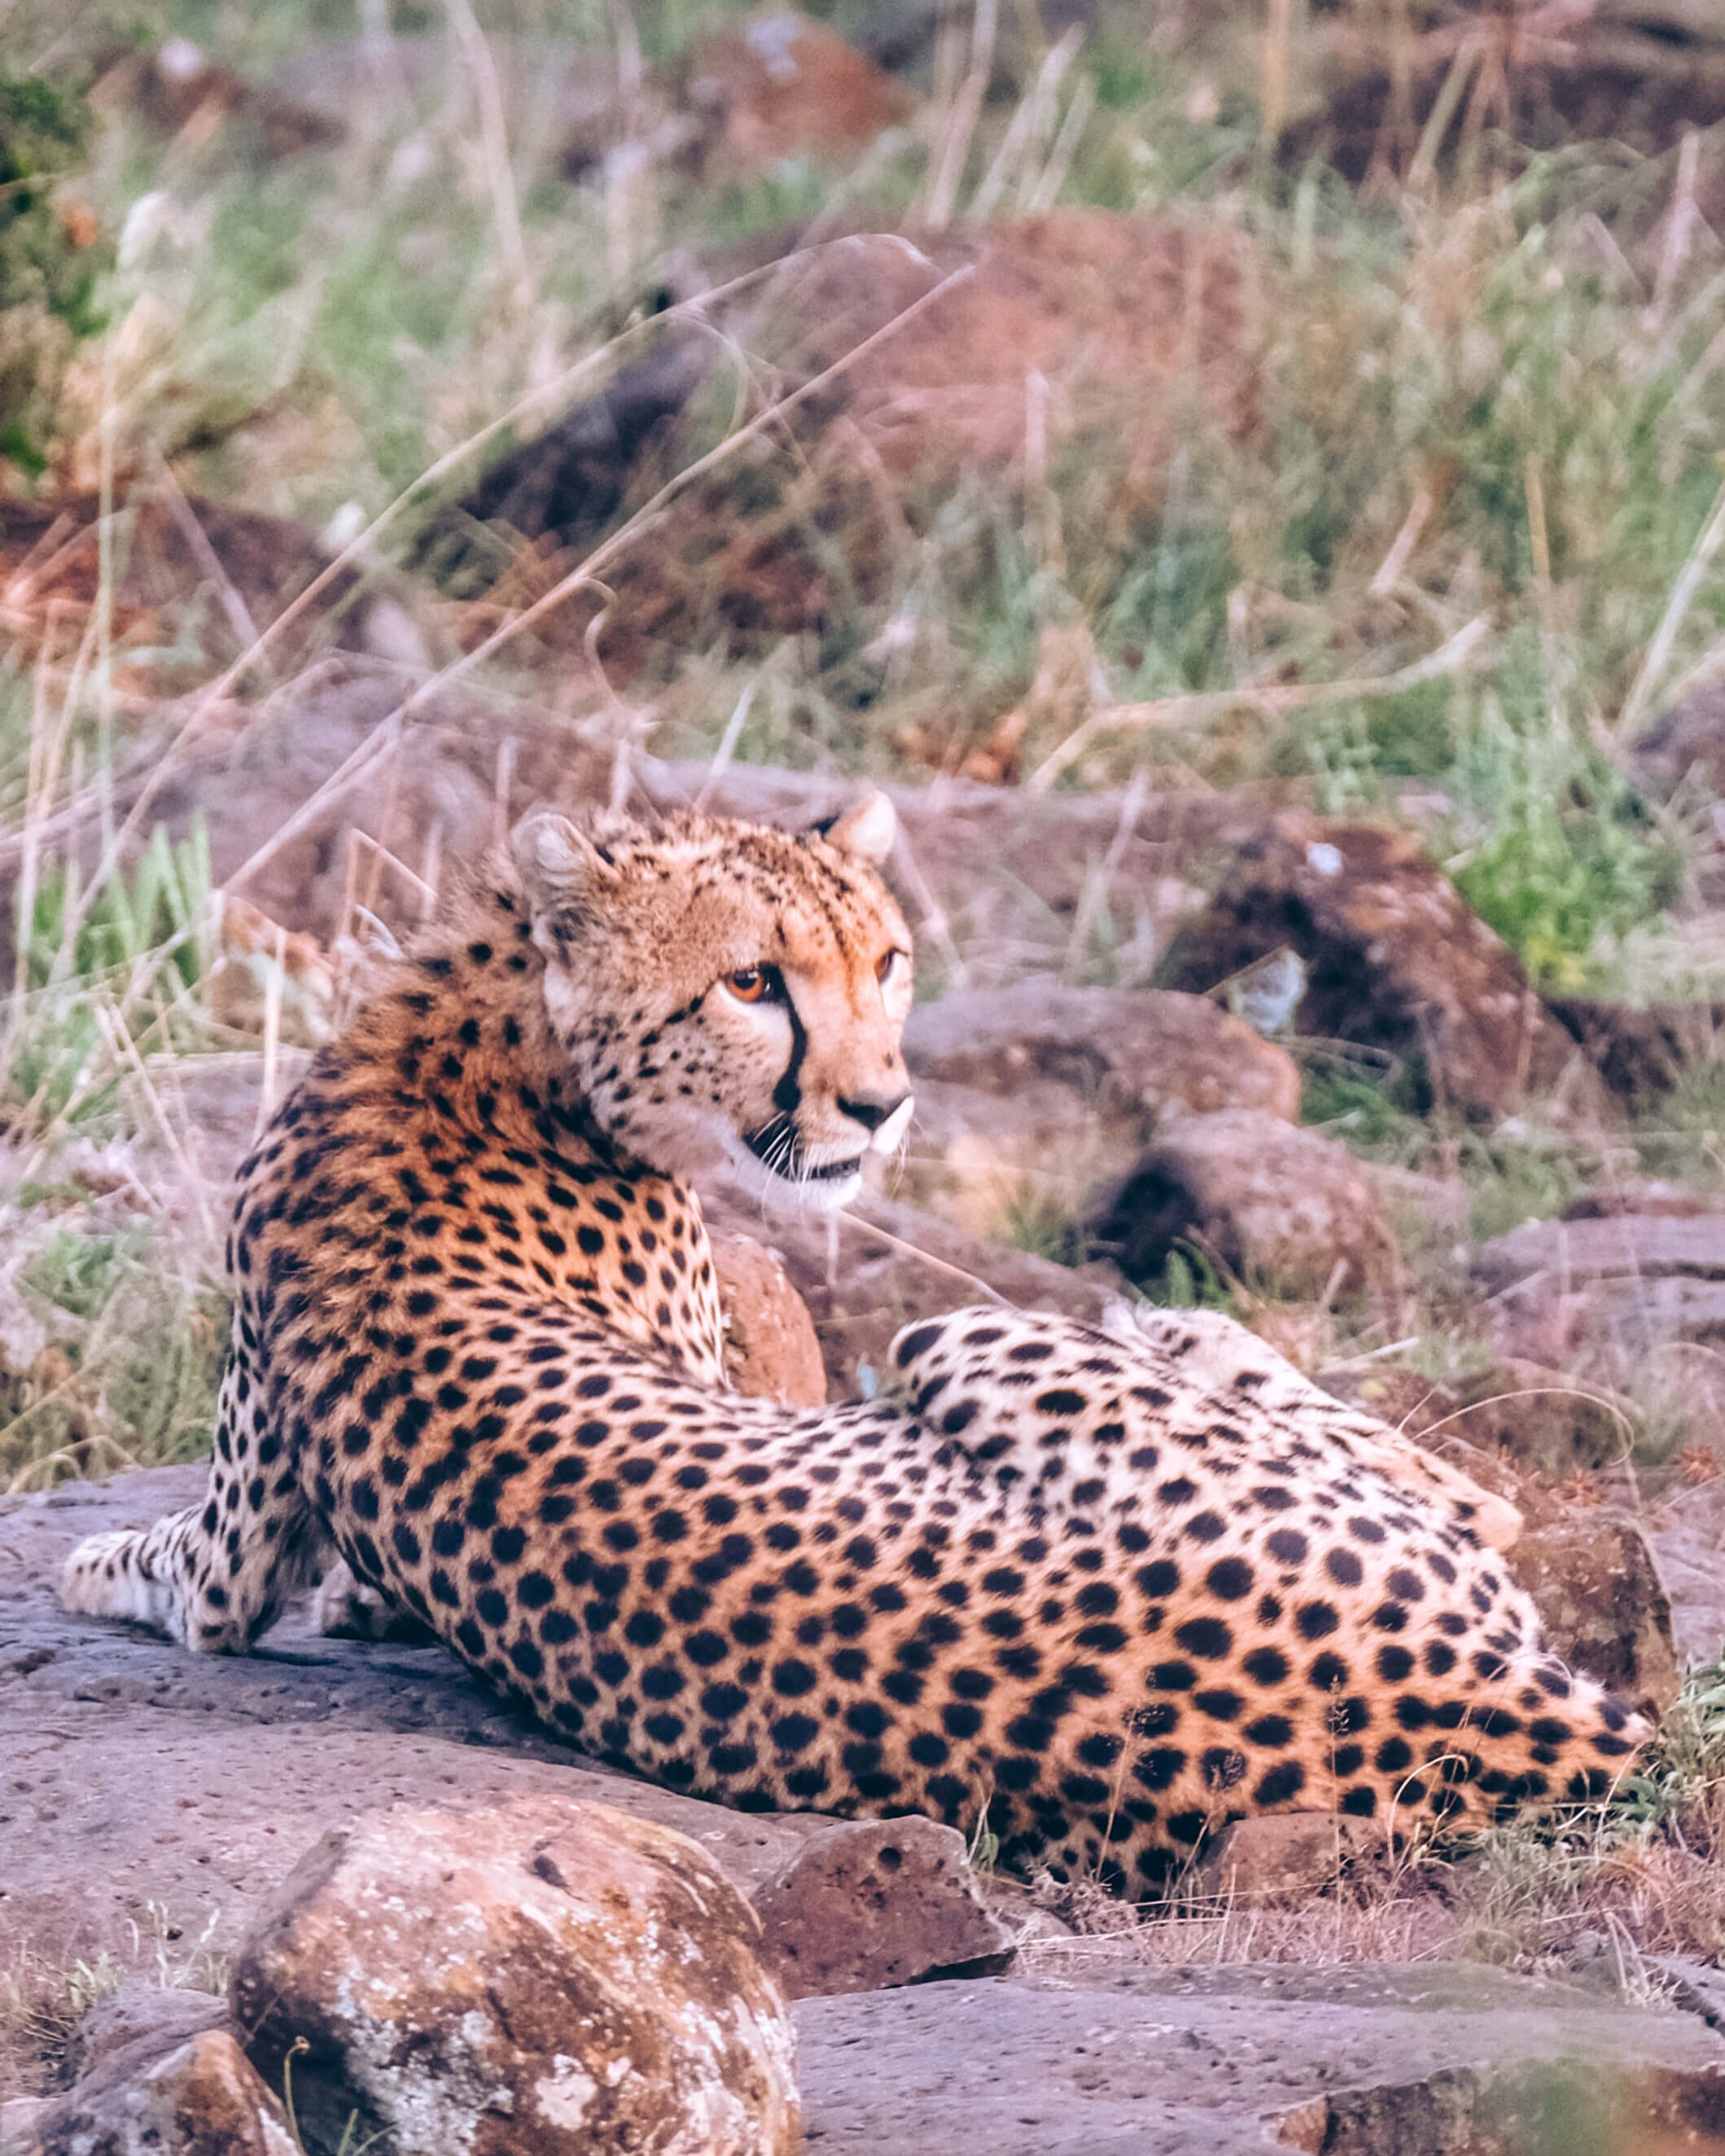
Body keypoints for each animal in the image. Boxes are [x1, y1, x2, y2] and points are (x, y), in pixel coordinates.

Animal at [63, 793, 1647, 1888]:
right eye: (750, 981)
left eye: (883, 959)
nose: (880, 1106)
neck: (491, 1038)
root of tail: (1492, 1711)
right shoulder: (242, 1553)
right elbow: (195, 1584)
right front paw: (108, 1564)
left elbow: (191, 1575)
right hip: (980, 1339)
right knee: (1465, 1494)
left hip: (968, 1335)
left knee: (1460, 1486)